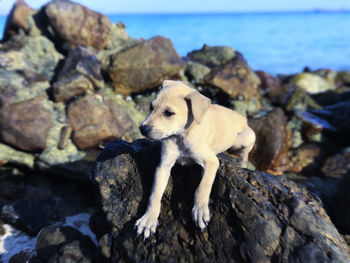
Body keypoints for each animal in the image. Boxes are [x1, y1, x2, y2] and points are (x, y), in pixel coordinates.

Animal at [135, 80, 256, 239]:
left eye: (169, 113)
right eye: (151, 107)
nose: (142, 128)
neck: (181, 137)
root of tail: (243, 118)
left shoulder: (211, 162)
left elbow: (203, 187)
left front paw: (200, 210)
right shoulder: (164, 165)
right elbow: (155, 194)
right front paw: (149, 219)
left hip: (242, 138)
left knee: (245, 153)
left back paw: (242, 163)